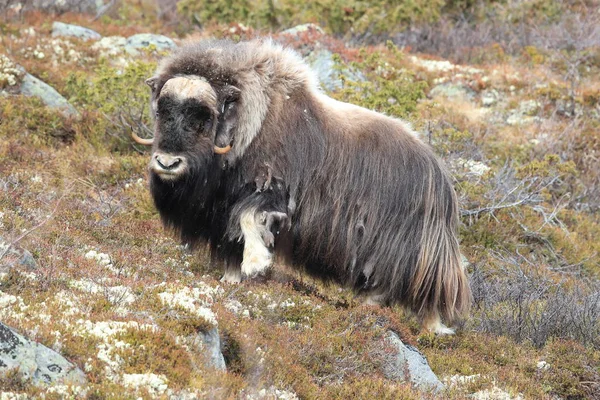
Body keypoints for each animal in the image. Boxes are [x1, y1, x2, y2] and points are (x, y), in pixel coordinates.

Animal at [134, 38, 472, 334]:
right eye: (163, 112)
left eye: (204, 118)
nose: (167, 164)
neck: (248, 129)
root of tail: (441, 177)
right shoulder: (221, 210)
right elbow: (232, 236)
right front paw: (232, 278)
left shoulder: (270, 190)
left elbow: (249, 218)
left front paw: (256, 264)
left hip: (409, 248)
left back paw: (422, 324)